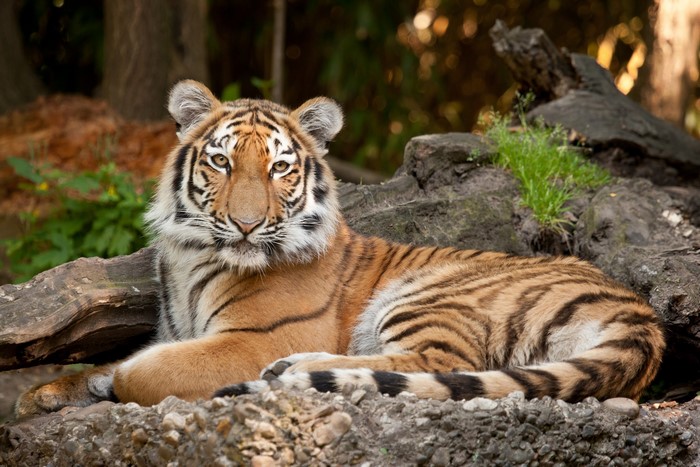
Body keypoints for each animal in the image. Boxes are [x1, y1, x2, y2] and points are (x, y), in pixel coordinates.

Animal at [15, 79, 665, 417]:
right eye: (221, 162)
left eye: (279, 168)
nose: (247, 226)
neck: (190, 254)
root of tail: (641, 315)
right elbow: (105, 365)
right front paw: (40, 395)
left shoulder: (252, 339)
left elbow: (142, 370)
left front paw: (111, 382)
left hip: (431, 295)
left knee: (437, 366)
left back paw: (296, 372)